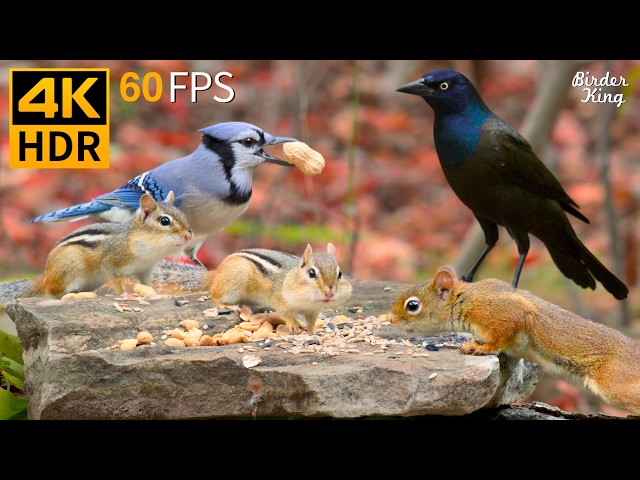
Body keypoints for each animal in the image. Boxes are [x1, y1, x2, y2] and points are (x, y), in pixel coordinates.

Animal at [5, 191, 193, 300]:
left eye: (184, 215)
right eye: (165, 221)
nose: (189, 235)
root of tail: (45, 276)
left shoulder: (146, 269)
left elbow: (147, 284)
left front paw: (157, 294)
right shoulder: (112, 263)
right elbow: (117, 281)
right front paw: (125, 294)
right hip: (71, 269)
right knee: (54, 293)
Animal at [153, 243, 353, 333]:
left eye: (340, 274)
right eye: (312, 273)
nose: (329, 292)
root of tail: (216, 273)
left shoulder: (312, 311)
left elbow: (311, 322)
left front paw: (312, 332)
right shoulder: (280, 298)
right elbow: (286, 313)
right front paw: (295, 325)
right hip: (235, 279)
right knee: (214, 293)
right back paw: (224, 305)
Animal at [388, 265, 640, 415]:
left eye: (412, 305)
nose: (390, 319)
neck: (468, 298)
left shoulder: (506, 314)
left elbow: (501, 338)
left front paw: (481, 347)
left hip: (615, 382)